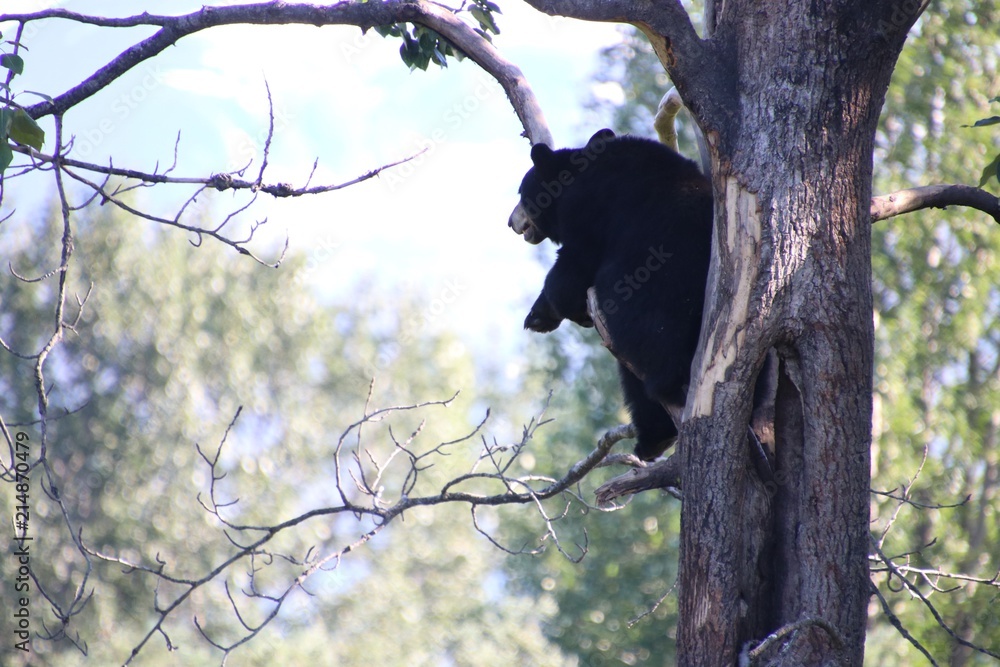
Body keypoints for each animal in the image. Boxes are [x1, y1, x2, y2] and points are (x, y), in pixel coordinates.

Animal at [509, 129, 713, 461]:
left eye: (520, 193)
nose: (510, 222)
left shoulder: (592, 210)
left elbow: (574, 265)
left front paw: (559, 310)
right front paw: (538, 316)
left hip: (661, 287)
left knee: (643, 342)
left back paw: (658, 420)